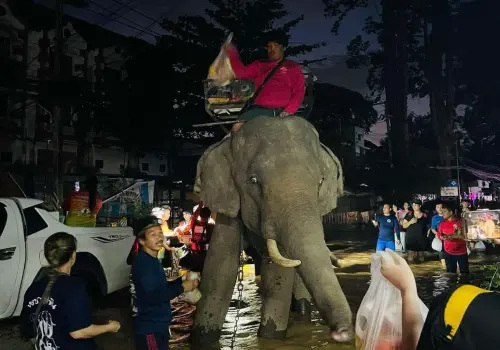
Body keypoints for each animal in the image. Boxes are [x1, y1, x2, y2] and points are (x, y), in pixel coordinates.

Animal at [189, 116, 354, 346]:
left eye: (321, 181)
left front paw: (270, 338)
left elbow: (277, 276)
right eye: (253, 181)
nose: (342, 333)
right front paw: (202, 339)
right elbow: (220, 270)